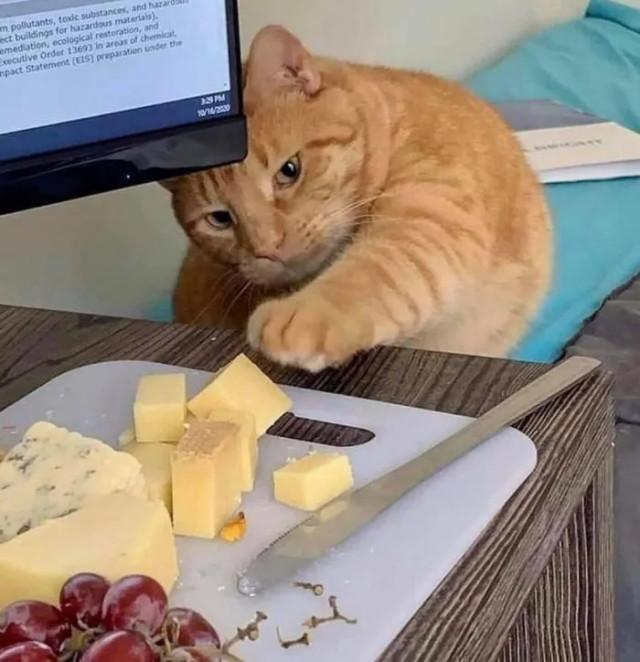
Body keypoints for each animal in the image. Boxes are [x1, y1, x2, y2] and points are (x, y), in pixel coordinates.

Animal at [164, 25, 552, 373]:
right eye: (219, 218)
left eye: (289, 170)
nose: (268, 247)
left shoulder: (433, 216)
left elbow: (374, 270)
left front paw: (306, 315)